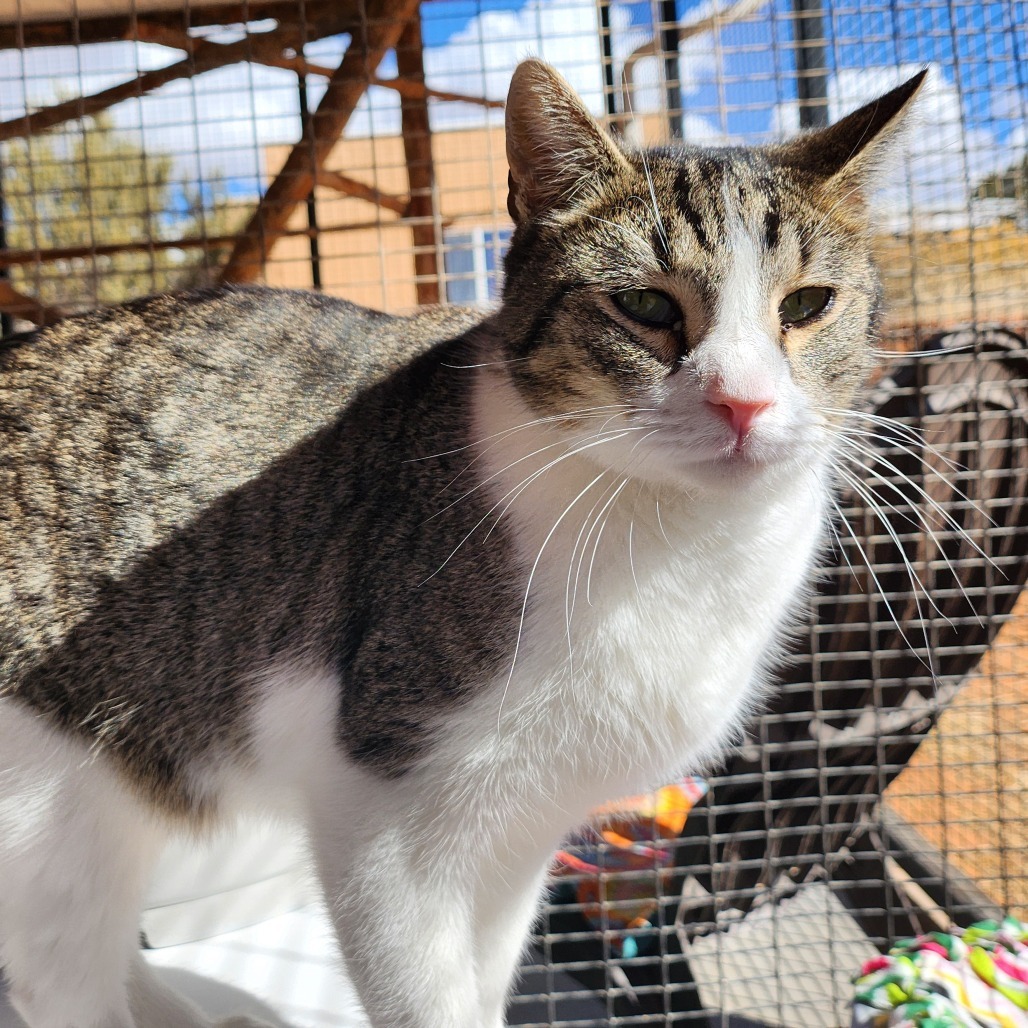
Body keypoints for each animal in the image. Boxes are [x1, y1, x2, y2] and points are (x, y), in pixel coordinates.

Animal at [0, 62, 929, 1028]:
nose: (744, 401)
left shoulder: (526, 829)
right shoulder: (384, 806)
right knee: (59, 967)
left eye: (808, 305)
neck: (678, 543)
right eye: (643, 304)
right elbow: (428, 997)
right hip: (52, 803)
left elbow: (489, 975)